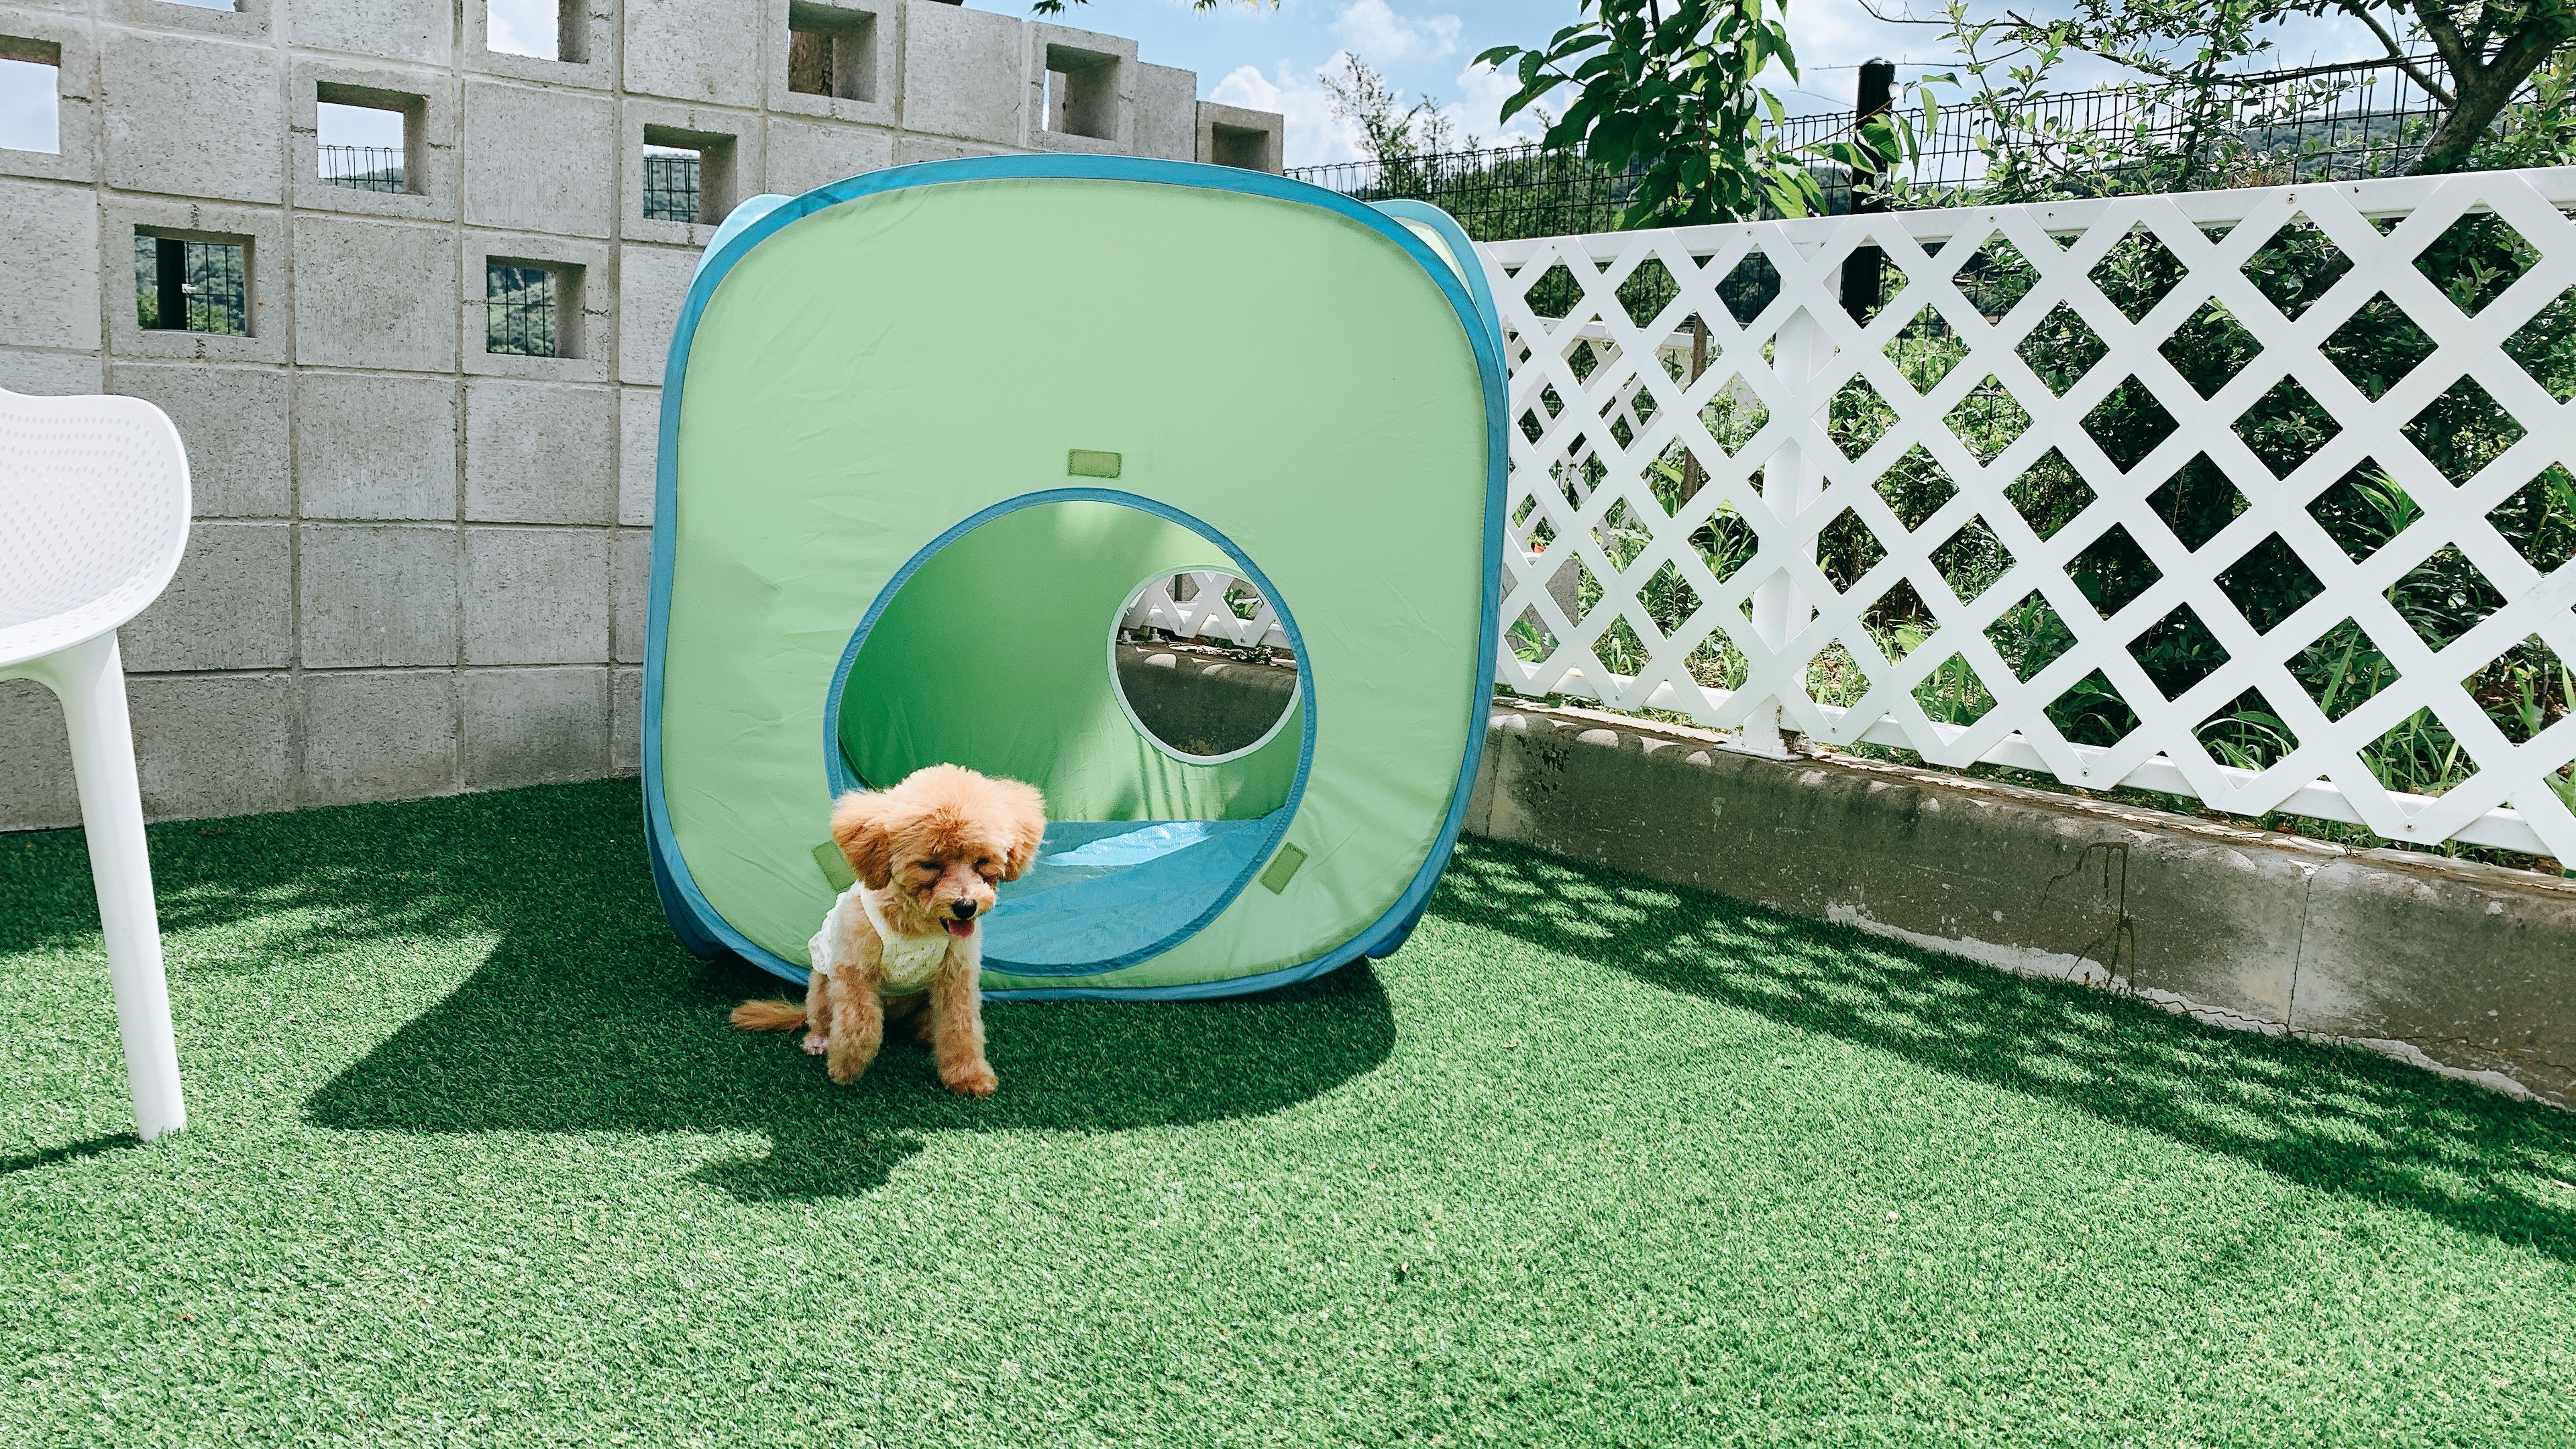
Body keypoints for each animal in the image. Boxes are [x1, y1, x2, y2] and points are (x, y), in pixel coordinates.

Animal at [730, 764, 1047, 1095]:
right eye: (930, 864)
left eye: (983, 861)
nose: (966, 906)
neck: (917, 926)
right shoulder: (854, 970)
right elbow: (860, 1023)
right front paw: (846, 1067)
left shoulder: (957, 976)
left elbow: (962, 1027)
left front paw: (968, 1076)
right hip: (821, 988)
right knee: (821, 1020)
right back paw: (819, 1041)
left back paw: (926, 1036)